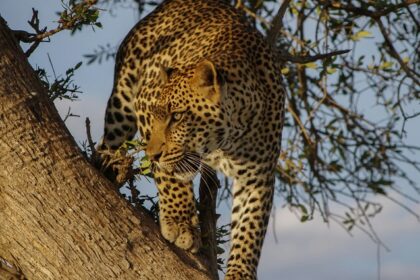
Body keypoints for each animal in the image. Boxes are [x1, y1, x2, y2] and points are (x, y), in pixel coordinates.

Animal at [100, 1, 288, 278]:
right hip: (122, 105)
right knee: (107, 144)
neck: (226, 140)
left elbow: (250, 227)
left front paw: (241, 271)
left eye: (177, 117)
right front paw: (180, 224)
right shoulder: (144, 102)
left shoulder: (258, 175)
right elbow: (169, 177)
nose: (152, 154)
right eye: (156, 116)